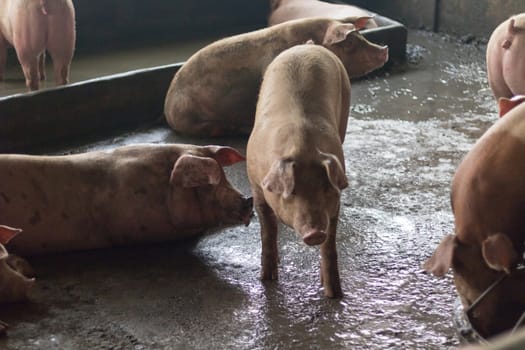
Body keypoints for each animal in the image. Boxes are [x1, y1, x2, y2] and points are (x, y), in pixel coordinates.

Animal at [245, 42, 348, 296]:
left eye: (326, 189)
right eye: (292, 192)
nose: (315, 233)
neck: (303, 146)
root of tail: (306, 46)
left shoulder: (334, 206)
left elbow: (330, 247)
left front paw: (334, 294)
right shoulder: (257, 188)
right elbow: (268, 232)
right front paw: (267, 279)